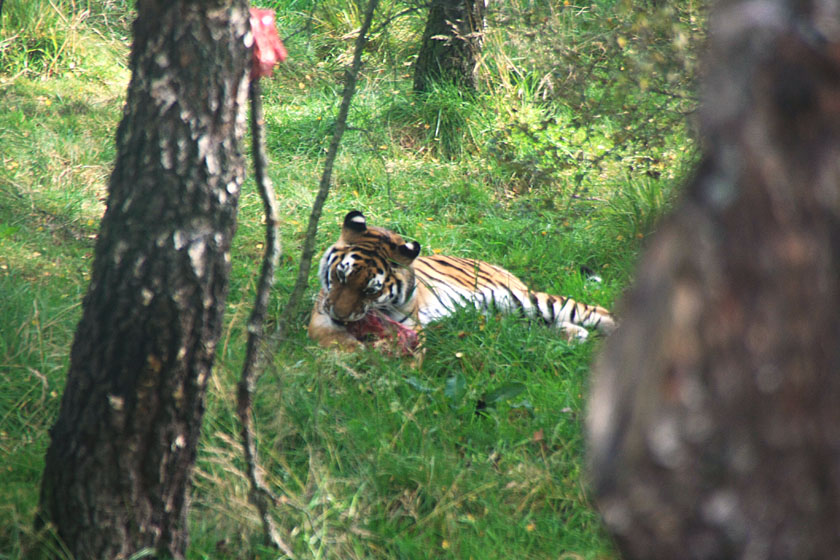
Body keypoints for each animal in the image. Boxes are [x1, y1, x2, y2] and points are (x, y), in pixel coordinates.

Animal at [308, 210, 616, 350]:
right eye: (341, 275)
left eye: (371, 290)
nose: (340, 315)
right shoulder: (320, 318)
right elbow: (337, 340)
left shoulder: (412, 327)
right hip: (507, 314)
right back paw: (573, 334)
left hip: (528, 300)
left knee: (594, 310)